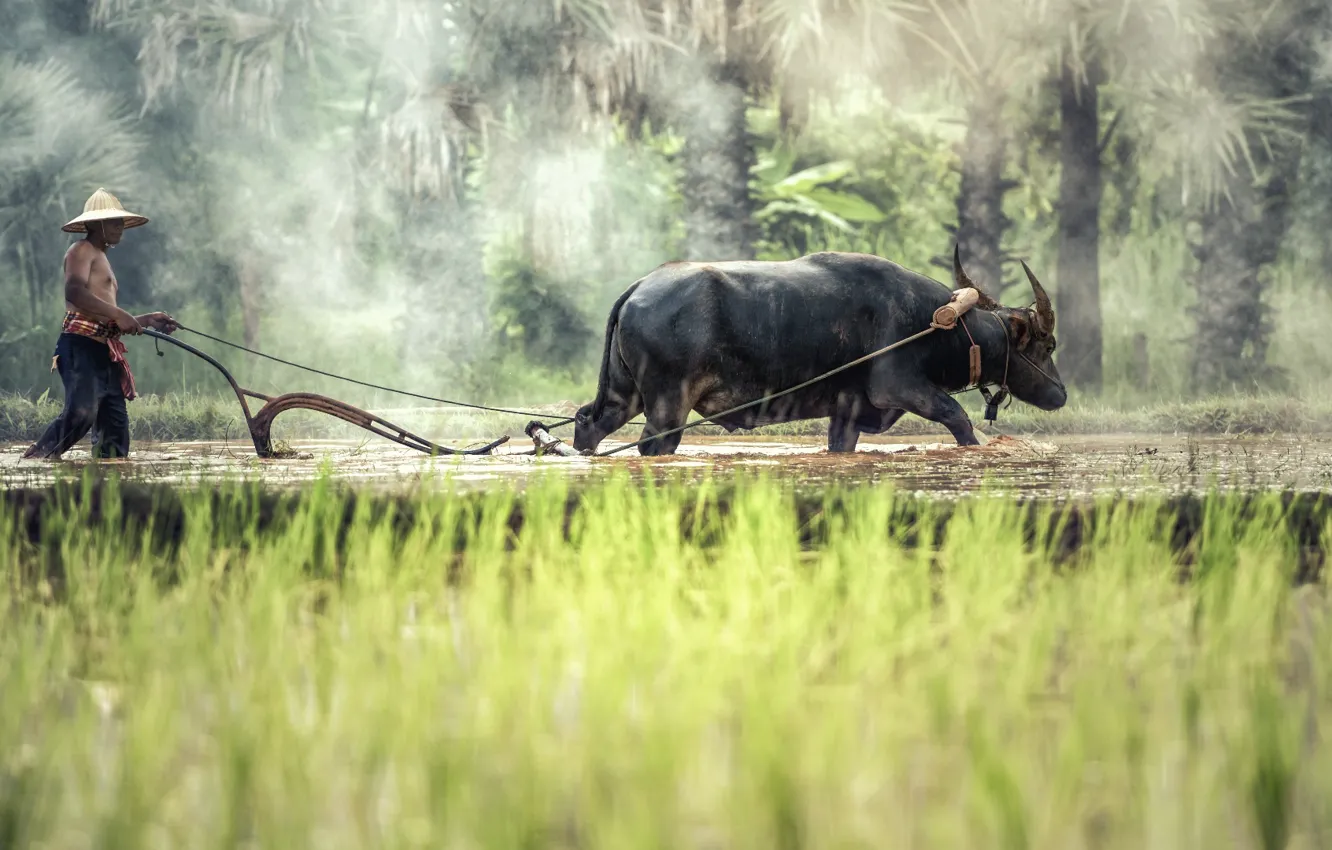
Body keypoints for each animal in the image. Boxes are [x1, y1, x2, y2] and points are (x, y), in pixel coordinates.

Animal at [573, 248, 1067, 456]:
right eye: (1048, 344)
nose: (1061, 394)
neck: (938, 323)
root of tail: (640, 287)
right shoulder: (900, 387)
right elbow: (959, 419)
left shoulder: (847, 412)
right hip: (667, 405)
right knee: (653, 445)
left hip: (623, 395)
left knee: (589, 424)